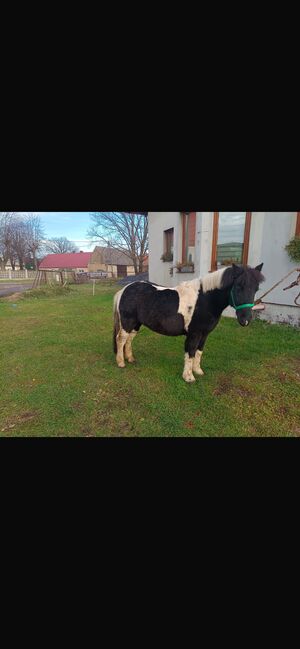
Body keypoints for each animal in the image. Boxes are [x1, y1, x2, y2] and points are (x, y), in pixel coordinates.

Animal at [113, 264, 264, 382]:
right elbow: (190, 352)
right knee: (121, 339)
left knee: (129, 340)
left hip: (136, 324)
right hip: (127, 322)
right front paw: (188, 377)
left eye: (256, 288)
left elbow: (199, 352)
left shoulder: (204, 334)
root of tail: (124, 290)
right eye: (238, 286)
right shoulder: (194, 334)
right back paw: (121, 363)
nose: (245, 320)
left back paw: (130, 359)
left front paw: (198, 371)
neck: (205, 300)